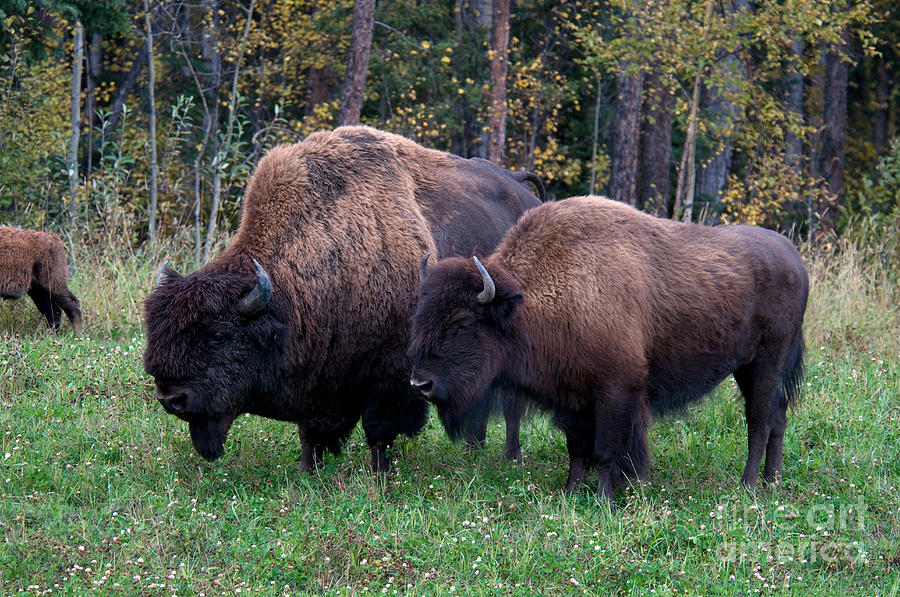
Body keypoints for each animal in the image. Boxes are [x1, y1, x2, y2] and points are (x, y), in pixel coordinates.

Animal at [141, 124, 540, 470]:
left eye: (220, 336)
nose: (171, 398)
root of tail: (523, 190)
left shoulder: (391, 376)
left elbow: (380, 431)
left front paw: (380, 476)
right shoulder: (320, 382)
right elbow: (311, 434)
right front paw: (308, 470)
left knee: (512, 408)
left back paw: (510, 457)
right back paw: (474, 451)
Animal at [410, 196, 808, 498]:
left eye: (464, 323)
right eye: (420, 314)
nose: (420, 384)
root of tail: (793, 259)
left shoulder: (616, 392)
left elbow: (605, 450)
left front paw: (605, 498)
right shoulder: (570, 398)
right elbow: (576, 449)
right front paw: (571, 492)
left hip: (766, 361)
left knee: (759, 419)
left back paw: (749, 484)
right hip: (751, 368)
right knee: (778, 416)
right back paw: (773, 481)